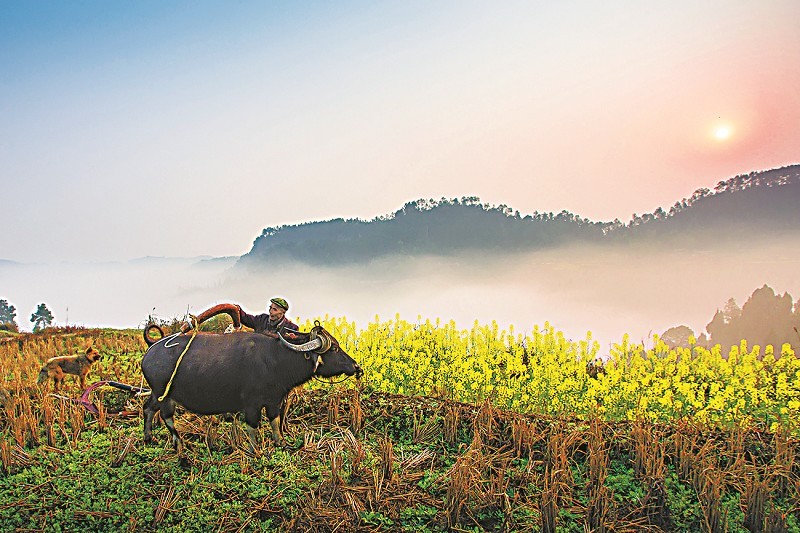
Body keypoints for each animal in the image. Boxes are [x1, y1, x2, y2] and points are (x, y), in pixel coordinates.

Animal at [141, 320, 360, 454]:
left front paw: (280, 442)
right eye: (334, 348)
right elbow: (253, 426)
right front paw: (255, 450)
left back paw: (149, 438)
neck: (276, 360)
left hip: (156, 393)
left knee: (147, 408)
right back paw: (179, 444)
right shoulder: (251, 404)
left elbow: (274, 420)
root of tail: (150, 351)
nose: (356, 366)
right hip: (165, 395)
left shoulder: (274, 401)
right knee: (167, 417)